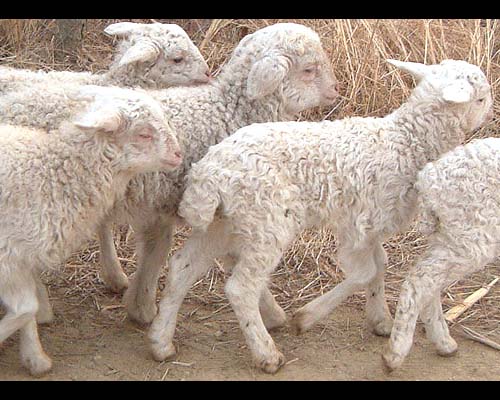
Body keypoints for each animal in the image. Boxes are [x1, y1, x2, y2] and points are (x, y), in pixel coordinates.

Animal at [0, 85, 183, 376]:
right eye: (143, 133)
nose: (178, 155)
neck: (51, 174)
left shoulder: (21, 256)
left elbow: (27, 309)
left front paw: (35, 359)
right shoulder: (8, 254)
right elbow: (25, 308)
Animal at [95, 22, 340, 317]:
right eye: (308, 69)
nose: (336, 89)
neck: (226, 111)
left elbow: (156, 251)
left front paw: (139, 304)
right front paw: (273, 314)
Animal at [382, 136, 499, 371]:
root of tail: (429, 177)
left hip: (449, 233)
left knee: (429, 280)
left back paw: (443, 342)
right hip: (471, 235)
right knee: (420, 280)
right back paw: (395, 352)